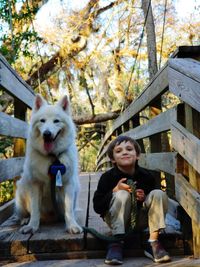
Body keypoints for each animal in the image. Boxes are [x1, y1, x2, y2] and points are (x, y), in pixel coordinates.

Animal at [14, 94, 82, 234]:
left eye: (56, 121)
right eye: (42, 121)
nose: (47, 133)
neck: (52, 157)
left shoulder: (69, 184)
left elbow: (68, 210)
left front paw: (72, 225)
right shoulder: (35, 184)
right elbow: (35, 210)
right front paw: (32, 226)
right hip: (21, 192)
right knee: (24, 213)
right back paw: (25, 220)